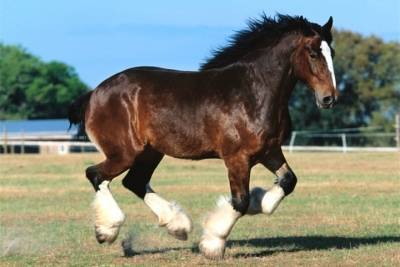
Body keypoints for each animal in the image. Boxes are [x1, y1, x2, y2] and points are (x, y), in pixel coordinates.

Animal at [68, 14, 338, 260]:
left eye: (331, 52)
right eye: (313, 53)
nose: (329, 98)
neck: (252, 92)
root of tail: (94, 93)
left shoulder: (269, 152)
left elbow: (287, 181)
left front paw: (259, 201)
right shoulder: (237, 158)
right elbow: (240, 201)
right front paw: (213, 243)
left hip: (150, 153)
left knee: (133, 182)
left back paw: (177, 226)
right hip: (125, 153)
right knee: (96, 174)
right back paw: (107, 231)